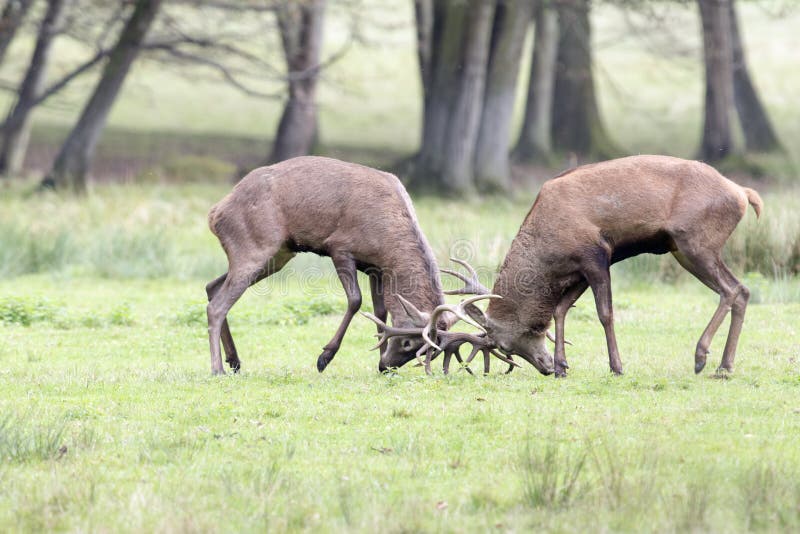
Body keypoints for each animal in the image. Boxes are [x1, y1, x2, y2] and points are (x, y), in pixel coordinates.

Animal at [206, 157, 506, 376]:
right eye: (409, 342)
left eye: (427, 350)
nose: (387, 367)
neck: (386, 239)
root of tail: (215, 213)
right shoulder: (340, 247)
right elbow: (355, 300)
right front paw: (324, 356)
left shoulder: (376, 268)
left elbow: (381, 311)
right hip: (256, 247)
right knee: (217, 305)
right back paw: (218, 369)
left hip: (277, 255)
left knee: (212, 286)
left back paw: (234, 360)